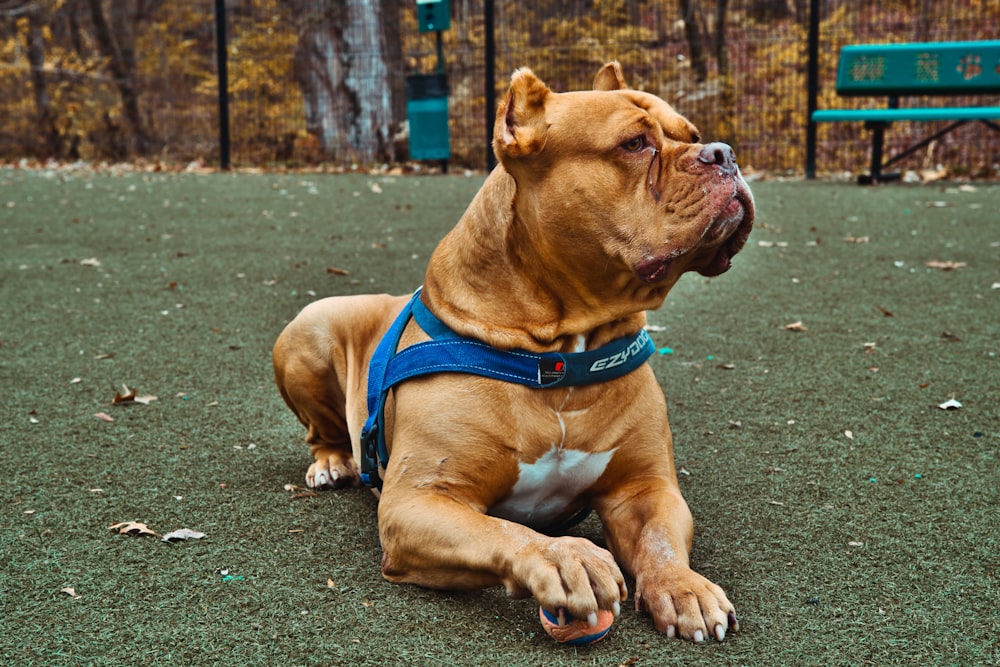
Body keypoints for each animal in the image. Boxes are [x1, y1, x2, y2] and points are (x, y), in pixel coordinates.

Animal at [270, 62, 752, 640]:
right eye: (634, 144)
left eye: (694, 135)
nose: (723, 153)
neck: (559, 357)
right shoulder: (419, 501)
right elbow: (502, 531)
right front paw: (564, 556)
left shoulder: (644, 488)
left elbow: (659, 540)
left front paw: (683, 587)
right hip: (309, 328)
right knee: (321, 431)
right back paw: (332, 462)